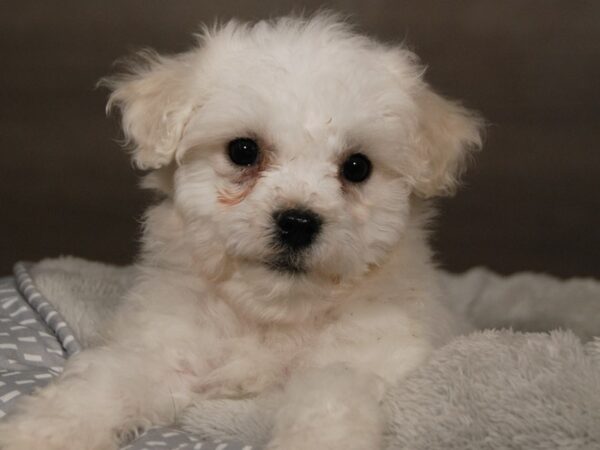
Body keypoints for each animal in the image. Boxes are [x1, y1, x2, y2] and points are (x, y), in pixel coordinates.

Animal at [0, 12, 480, 450]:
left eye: (357, 167)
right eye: (243, 151)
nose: (298, 222)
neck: (269, 317)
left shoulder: (359, 361)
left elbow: (327, 400)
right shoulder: (161, 348)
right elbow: (106, 383)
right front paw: (38, 433)